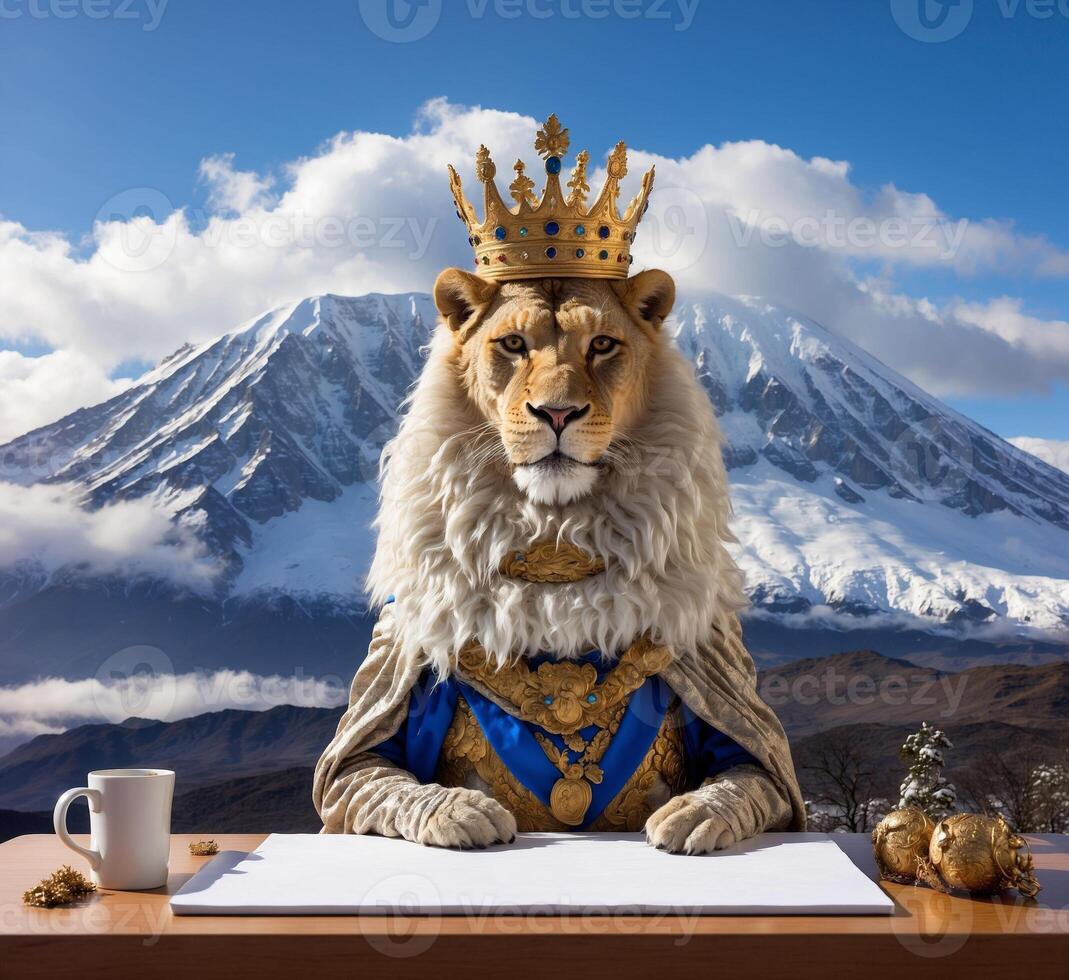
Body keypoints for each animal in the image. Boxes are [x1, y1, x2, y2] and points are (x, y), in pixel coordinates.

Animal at [312, 267, 803, 850]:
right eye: (513, 344)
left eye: (602, 345)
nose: (558, 412)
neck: (557, 548)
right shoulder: (381, 688)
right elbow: (378, 780)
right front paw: (459, 811)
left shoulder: (725, 676)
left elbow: (747, 780)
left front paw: (695, 814)